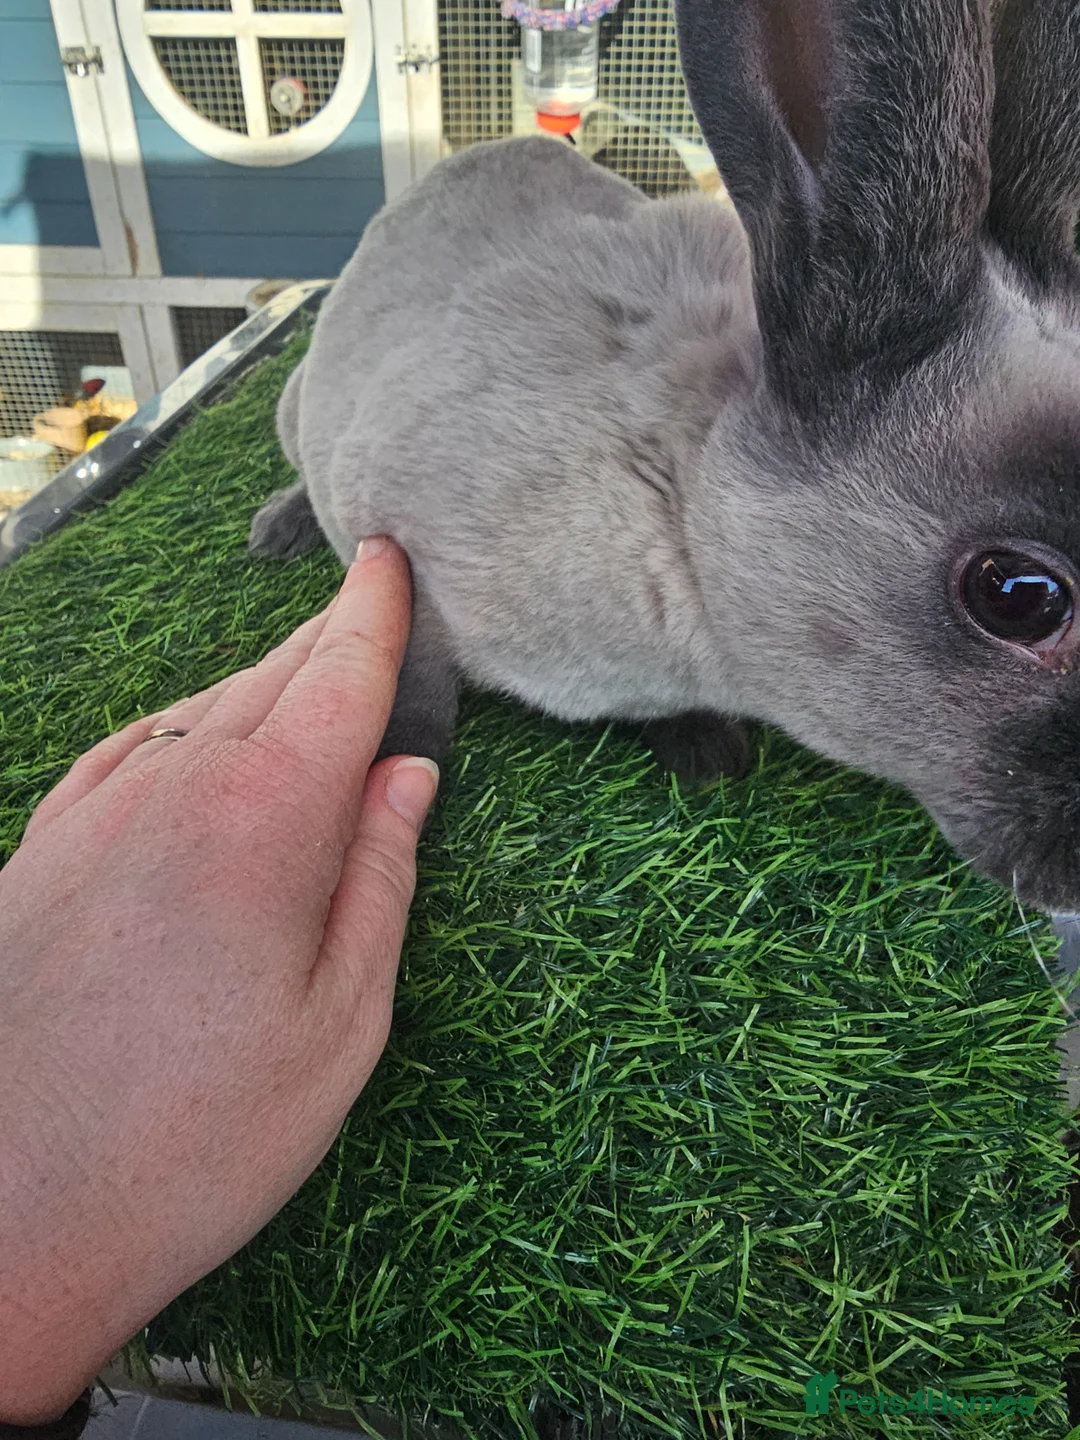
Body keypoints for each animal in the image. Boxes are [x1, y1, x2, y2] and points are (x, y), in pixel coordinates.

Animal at [250, 0, 1080, 916]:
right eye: (1016, 594)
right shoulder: (401, 554)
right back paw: (278, 528)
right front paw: (393, 773)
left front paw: (705, 751)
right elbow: (413, 691)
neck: (680, 512)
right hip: (296, 410)